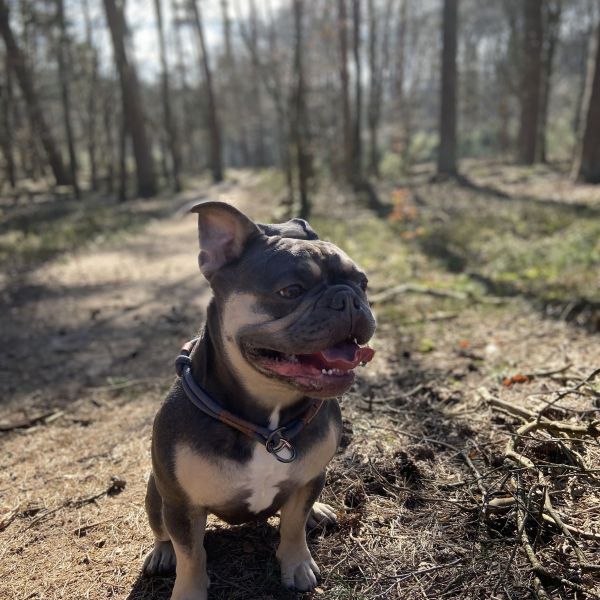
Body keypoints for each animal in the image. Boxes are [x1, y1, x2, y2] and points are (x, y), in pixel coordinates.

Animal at [143, 203, 376, 600]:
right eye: (291, 290)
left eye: (362, 283)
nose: (347, 298)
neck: (267, 424)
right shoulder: (181, 504)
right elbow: (191, 554)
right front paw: (189, 590)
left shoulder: (308, 478)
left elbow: (293, 525)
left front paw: (297, 564)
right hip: (155, 492)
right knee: (163, 532)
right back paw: (161, 553)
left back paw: (318, 511)